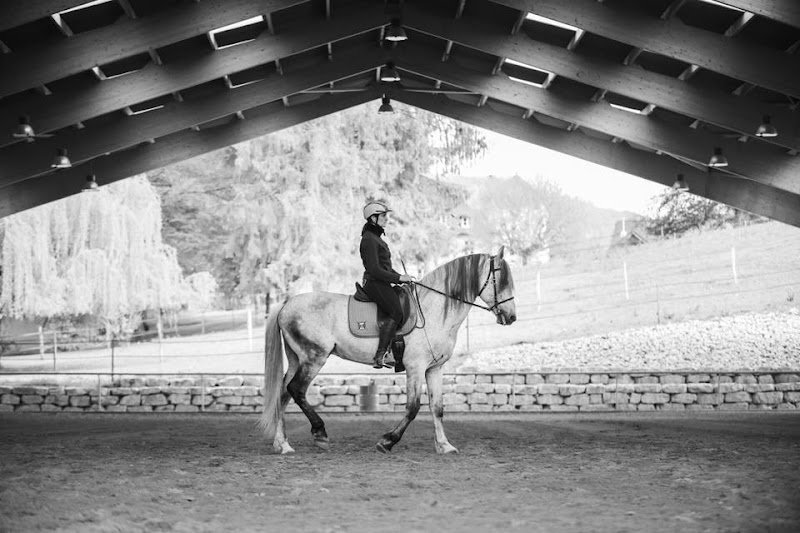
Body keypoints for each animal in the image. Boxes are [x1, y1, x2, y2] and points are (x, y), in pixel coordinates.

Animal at [259, 247, 517, 454]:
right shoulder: (415, 367)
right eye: (501, 278)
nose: (512, 317)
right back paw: (319, 433)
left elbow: (438, 408)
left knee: (283, 394)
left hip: (297, 359)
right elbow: (413, 408)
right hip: (314, 357)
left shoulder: (435, 369)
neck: (432, 310)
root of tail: (286, 303)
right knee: (296, 390)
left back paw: (283, 445)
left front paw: (444, 446)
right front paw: (387, 441)